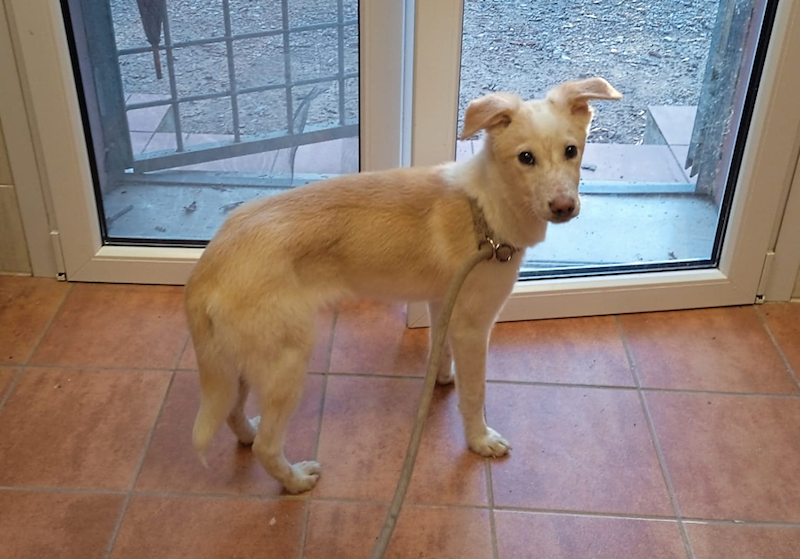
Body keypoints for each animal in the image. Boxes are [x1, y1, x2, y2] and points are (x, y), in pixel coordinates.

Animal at [185, 77, 622, 494]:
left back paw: (249, 433)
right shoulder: (474, 327)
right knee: (266, 446)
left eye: (571, 150)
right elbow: (475, 394)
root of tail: (209, 264)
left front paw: (441, 379)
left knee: (232, 412)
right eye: (525, 158)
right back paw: (294, 480)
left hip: (241, 361)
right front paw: (479, 440)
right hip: (285, 362)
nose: (564, 207)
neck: (484, 209)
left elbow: (440, 348)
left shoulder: (443, 302)